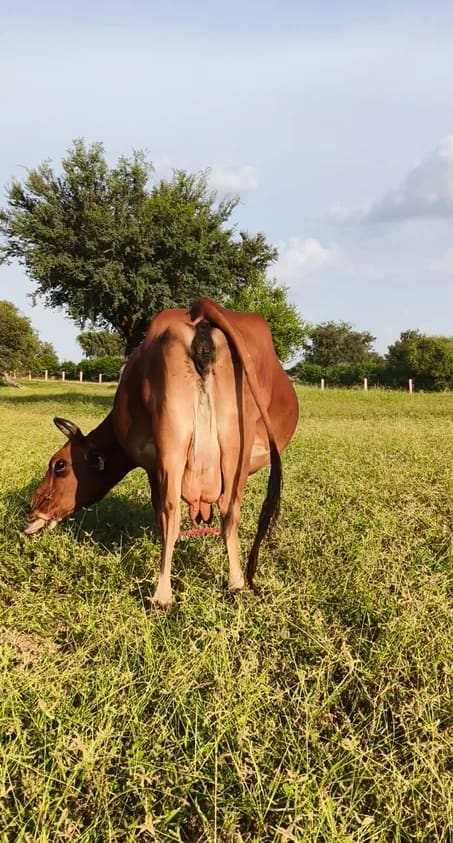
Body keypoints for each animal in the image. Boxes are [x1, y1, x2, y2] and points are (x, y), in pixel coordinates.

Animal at [24, 298, 299, 607]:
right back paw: (230, 583)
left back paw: (166, 594)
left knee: (175, 513)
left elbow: (160, 515)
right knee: (223, 511)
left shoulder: (152, 466)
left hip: (179, 444)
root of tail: (200, 310)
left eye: (59, 465)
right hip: (227, 445)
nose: (33, 506)